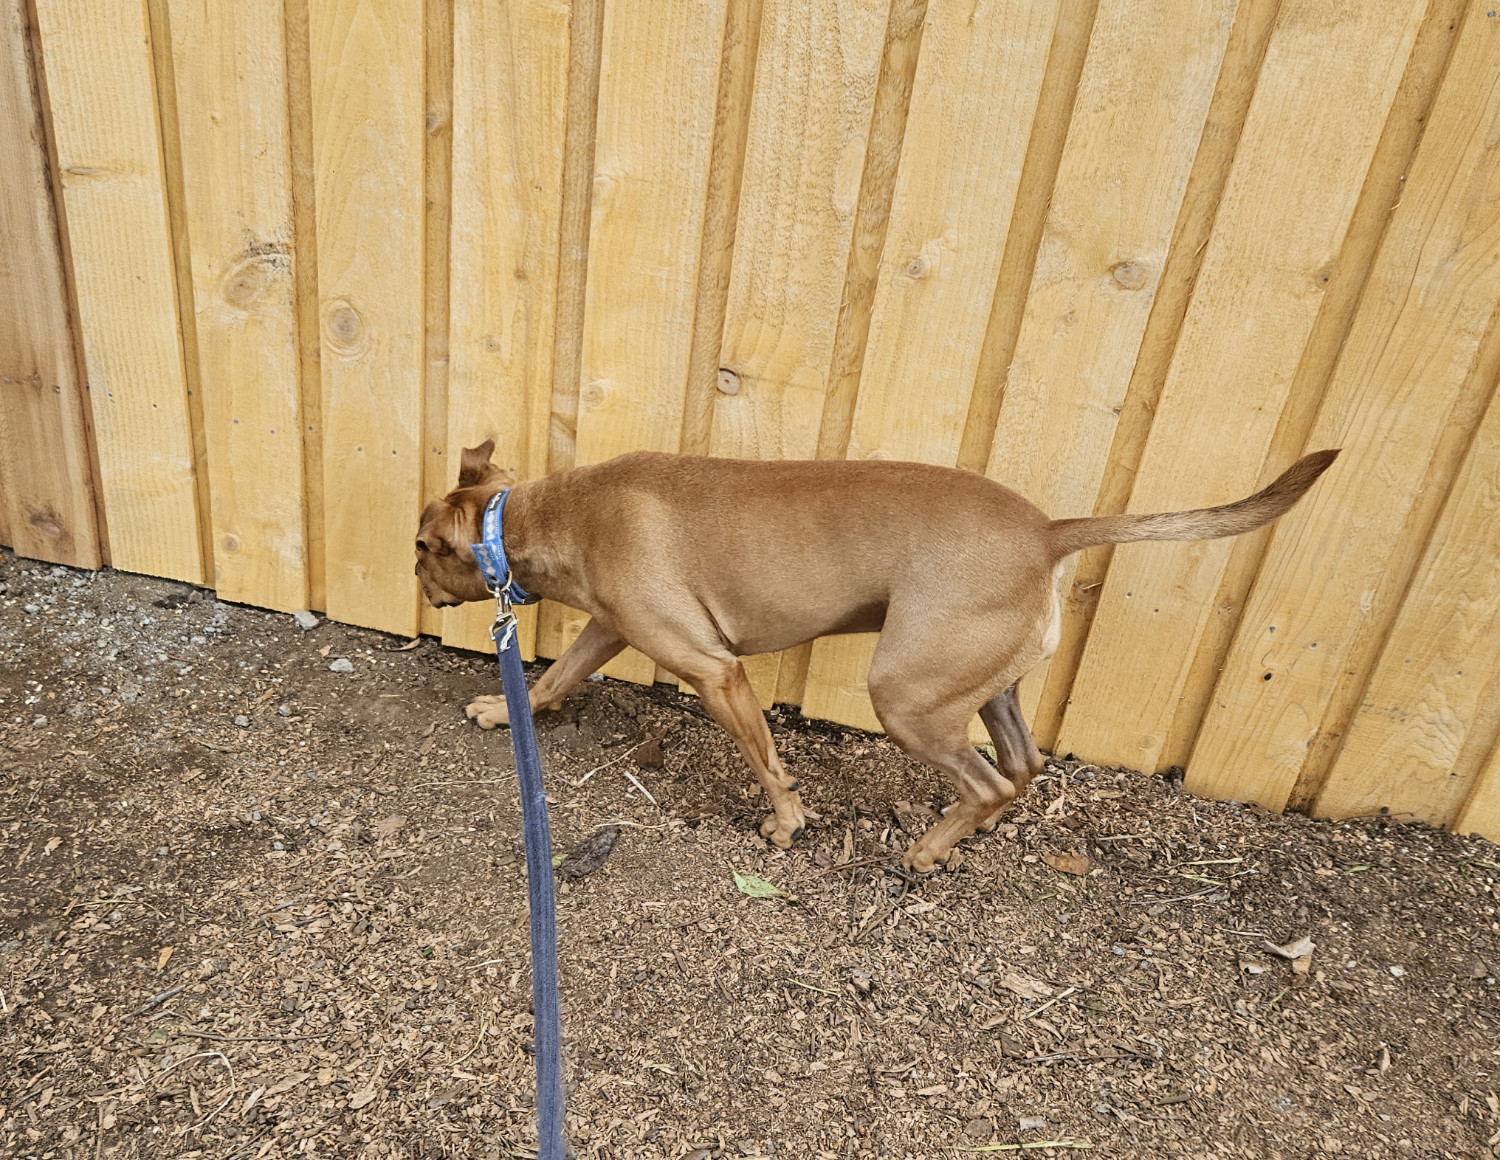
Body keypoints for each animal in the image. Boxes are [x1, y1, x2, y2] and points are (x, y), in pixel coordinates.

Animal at [414, 444, 1338, 870]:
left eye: (424, 549)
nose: (414, 580)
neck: (543, 514)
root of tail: (1048, 532)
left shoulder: (716, 672)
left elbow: (769, 763)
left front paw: (786, 824)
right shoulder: (611, 631)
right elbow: (556, 678)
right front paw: (502, 709)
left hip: (904, 695)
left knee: (988, 778)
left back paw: (928, 852)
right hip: (977, 688)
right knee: (1019, 768)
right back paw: (972, 828)